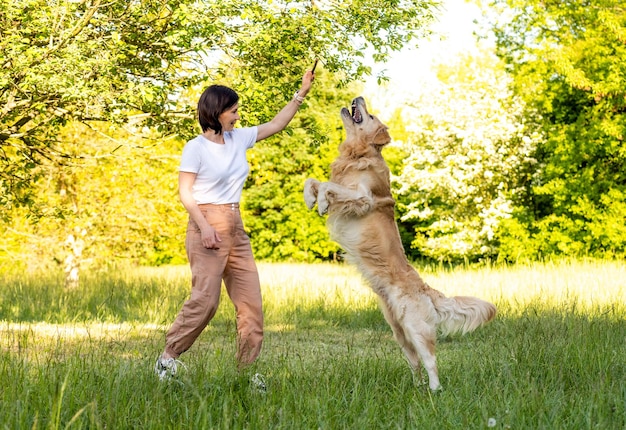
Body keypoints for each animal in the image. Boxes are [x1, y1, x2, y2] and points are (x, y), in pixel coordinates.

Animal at [304, 96, 494, 390]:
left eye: (370, 115)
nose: (358, 97)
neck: (358, 155)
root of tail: (427, 289)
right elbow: (313, 180)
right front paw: (310, 198)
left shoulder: (363, 198)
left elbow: (327, 185)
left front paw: (322, 202)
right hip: (398, 331)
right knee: (414, 361)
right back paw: (415, 388)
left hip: (416, 326)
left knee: (430, 361)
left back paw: (435, 390)